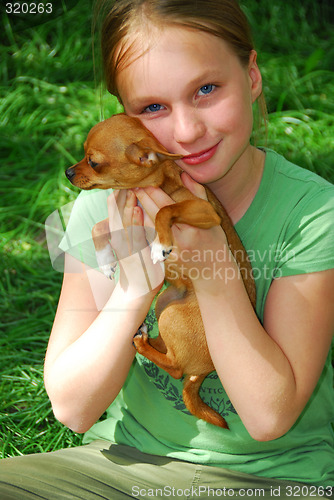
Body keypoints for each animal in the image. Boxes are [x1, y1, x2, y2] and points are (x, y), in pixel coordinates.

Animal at [66, 114, 256, 430]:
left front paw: (160, 244)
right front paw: (105, 260)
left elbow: (165, 211)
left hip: (173, 316)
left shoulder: (204, 211)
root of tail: (204, 371)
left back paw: (143, 345)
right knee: (166, 349)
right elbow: (98, 226)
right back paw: (142, 336)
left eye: (93, 162)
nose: (68, 172)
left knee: (176, 368)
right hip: (165, 302)